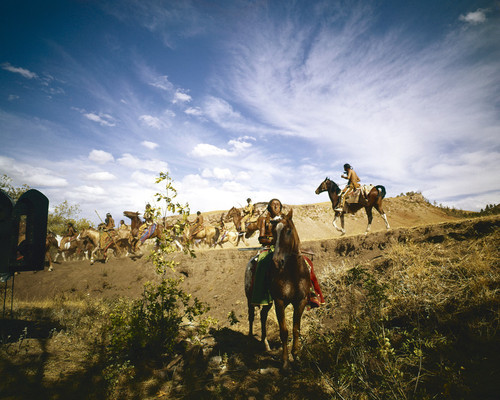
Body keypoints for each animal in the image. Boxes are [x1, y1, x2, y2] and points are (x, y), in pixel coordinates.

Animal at [245, 211, 310, 370]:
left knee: (263, 315)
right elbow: (284, 331)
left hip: (268, 301)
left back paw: (266, 344)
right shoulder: (280, 302)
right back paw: (250, 341)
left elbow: (296, 329)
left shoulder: (300, 301)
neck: (293, 273)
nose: (276, 261)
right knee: (251, 316)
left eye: (288, 230)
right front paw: (285, 362)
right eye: (274, 232)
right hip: (250, 298)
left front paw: (296, 357)